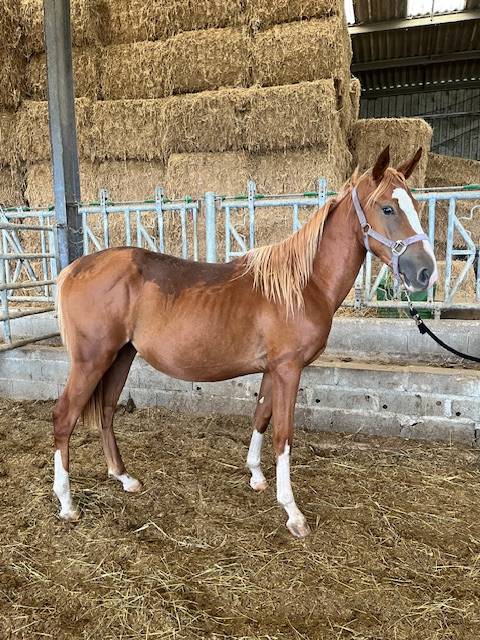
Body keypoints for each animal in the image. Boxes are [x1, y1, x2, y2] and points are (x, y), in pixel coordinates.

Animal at [52, 146, 437, 538]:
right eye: (388, 208)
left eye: (415, 205)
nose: (425, 272)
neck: (302, 285)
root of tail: (72, 269)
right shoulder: (289, 369)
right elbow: (283, 434)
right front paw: (292, 512)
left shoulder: (273, 369)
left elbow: (261, 417)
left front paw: (256, 476)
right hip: (92, 359)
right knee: (64, 416)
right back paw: (67, 504)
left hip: (121, 356)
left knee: (106, 410)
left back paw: (123, 478)